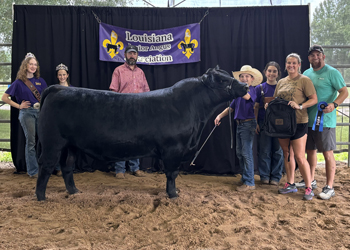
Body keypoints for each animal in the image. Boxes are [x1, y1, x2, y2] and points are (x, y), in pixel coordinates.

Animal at [35, 66, 247, 201]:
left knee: (67, 167)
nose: (245, 86)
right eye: (222, 80)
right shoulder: (174, 149)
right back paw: (41, 197)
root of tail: (58, 88)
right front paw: (173, 195)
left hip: (70, 145)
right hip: (52, 142)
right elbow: (172, 173)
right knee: (46, 166)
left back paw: (74, 192)